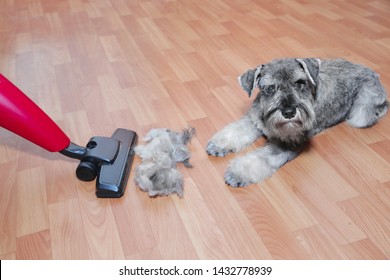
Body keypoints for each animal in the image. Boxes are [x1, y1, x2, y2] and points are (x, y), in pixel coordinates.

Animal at [206, 58, 388, 187]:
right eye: (270, 88)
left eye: (299, 83)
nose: (289, 112)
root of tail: (372, 72)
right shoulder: (254, 120)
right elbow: (237, 130)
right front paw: (219, 144)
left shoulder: (289, 142)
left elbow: (262, 156)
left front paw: (239, 173)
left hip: (362, 112)